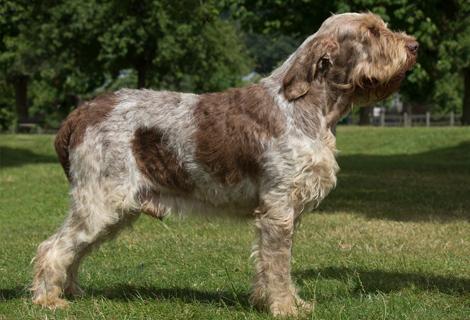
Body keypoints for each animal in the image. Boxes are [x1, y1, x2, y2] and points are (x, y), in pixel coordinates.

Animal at [33, 11, 418, 316]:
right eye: (372, 30)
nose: (414, 46)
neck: (308, 107)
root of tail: (82, 112)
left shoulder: (283, 212)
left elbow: (272, 264)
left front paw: (278, 302)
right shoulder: (278, 208)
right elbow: (278, 265)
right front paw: (285, 308)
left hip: (115, 209)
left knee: (73, 251)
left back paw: (72, 292)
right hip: (101, 203)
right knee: (52, 248)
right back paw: (48, 300)